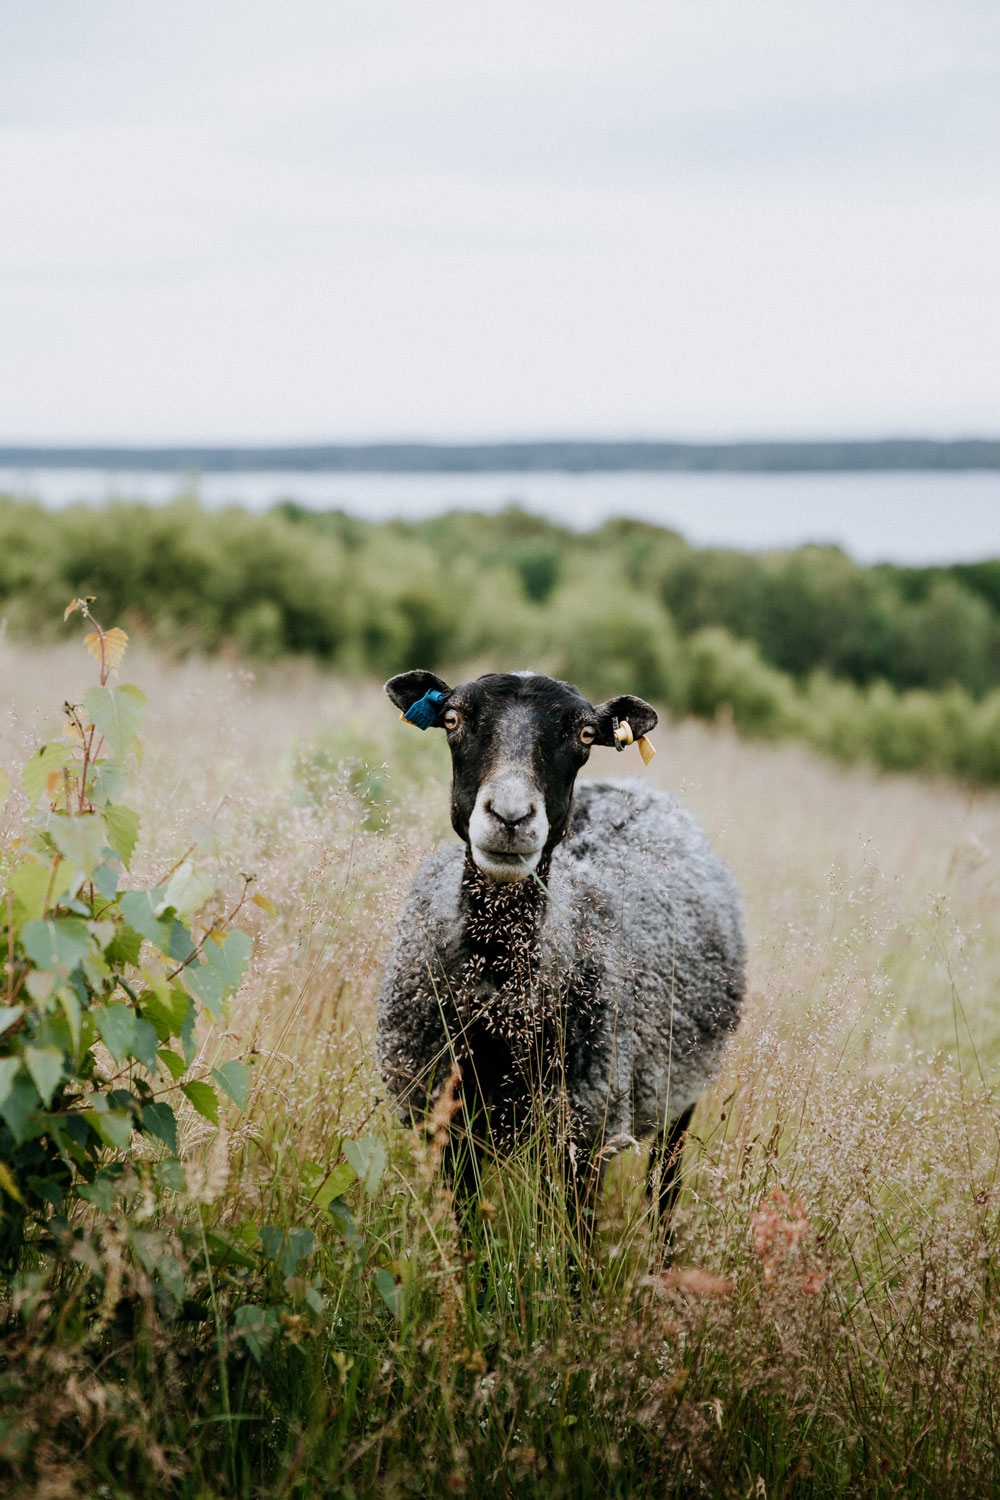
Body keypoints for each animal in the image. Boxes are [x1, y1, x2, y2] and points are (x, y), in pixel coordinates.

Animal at [374, 669, 743, 1242]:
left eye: (586, 735)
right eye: (452, 719)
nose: (510, 817)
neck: (499, 998)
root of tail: (641, 790)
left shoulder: (585, 1136)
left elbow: (573, 1246)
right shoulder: (450, 1130)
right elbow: (469, 1237)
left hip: (680, 1092)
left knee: (665, 1186)